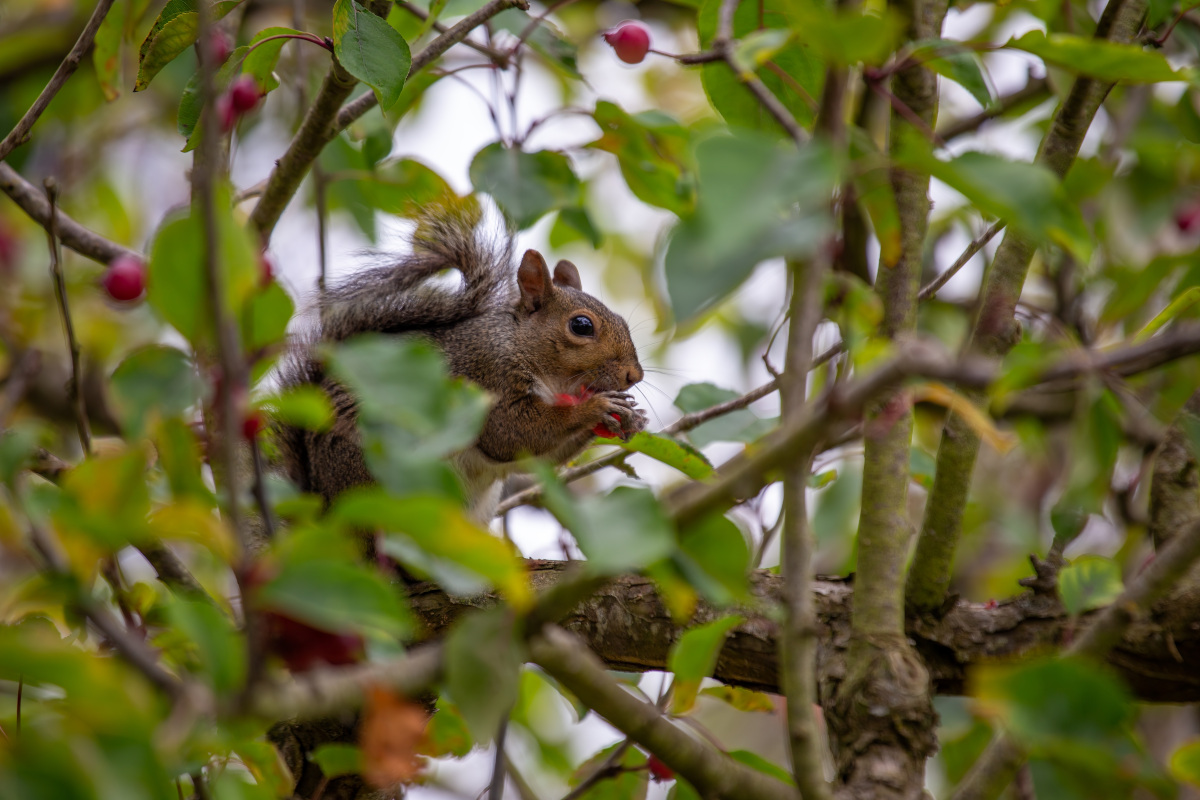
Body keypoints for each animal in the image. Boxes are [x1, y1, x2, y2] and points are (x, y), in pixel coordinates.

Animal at [274, 206, 648, 520]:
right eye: (581, 326)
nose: (635, 374)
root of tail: (320, 503)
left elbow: (535, 461)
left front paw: (633, 417)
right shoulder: (489, 374)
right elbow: (512, 433)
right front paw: (597, 407)